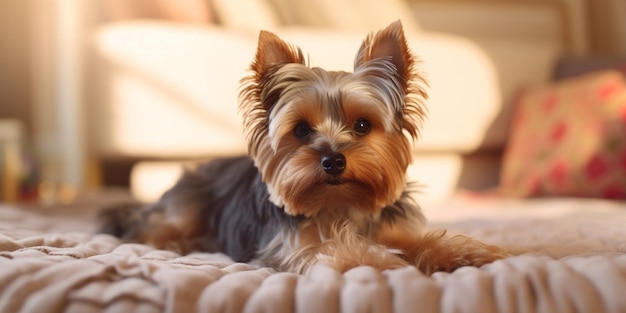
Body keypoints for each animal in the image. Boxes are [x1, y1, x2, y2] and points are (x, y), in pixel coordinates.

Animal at [98, 20, 508, 272]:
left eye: (363, 125)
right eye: (301, 131)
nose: (333, 161)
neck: (339, 205)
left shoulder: (390, 225)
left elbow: (422, 241)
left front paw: (470, 252)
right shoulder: (295, 246)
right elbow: (337, 250)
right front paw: (382, 262)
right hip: (184, 208)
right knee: (148, 229)